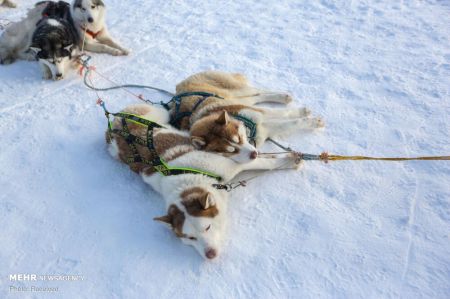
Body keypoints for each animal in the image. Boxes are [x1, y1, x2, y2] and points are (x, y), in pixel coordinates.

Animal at [107, 104, 300, 258]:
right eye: (190, 238)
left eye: (207, 228)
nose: (210, 255)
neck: (185, 177)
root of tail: (113, 125)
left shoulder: (230, 165)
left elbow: (266, 162)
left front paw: (291, 160)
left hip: (161, 114)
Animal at [167, 71, 326, 161]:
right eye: (230, 151)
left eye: (238, 139)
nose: (254, 155)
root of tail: (179, 86)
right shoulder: (264, 128)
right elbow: (287, 123)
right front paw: (310, 120)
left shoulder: (260, 114)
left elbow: (285, 116)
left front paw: (310, 118)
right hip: (240, 98)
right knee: (257, 96)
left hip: (237, 92)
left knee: (258, 91)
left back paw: (283, 96)